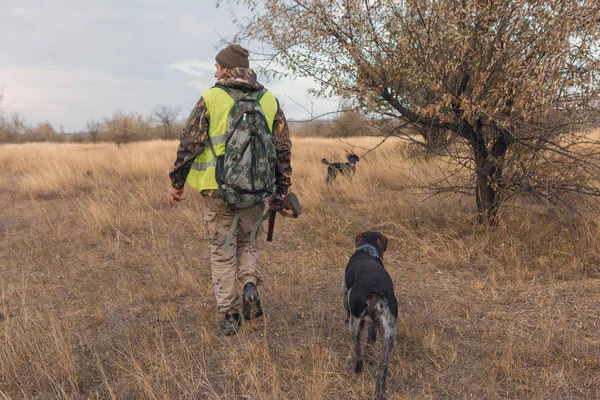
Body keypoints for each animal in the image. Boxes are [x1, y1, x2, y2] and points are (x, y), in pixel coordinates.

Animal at [342, 231, 398, 400]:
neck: (367, 249)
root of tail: (376, 287)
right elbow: (371, 338)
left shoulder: (344, 291)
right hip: (389, 335)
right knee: (382, 369)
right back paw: (379, 392)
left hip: (354, 324)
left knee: (357, 349)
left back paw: (357, 367)